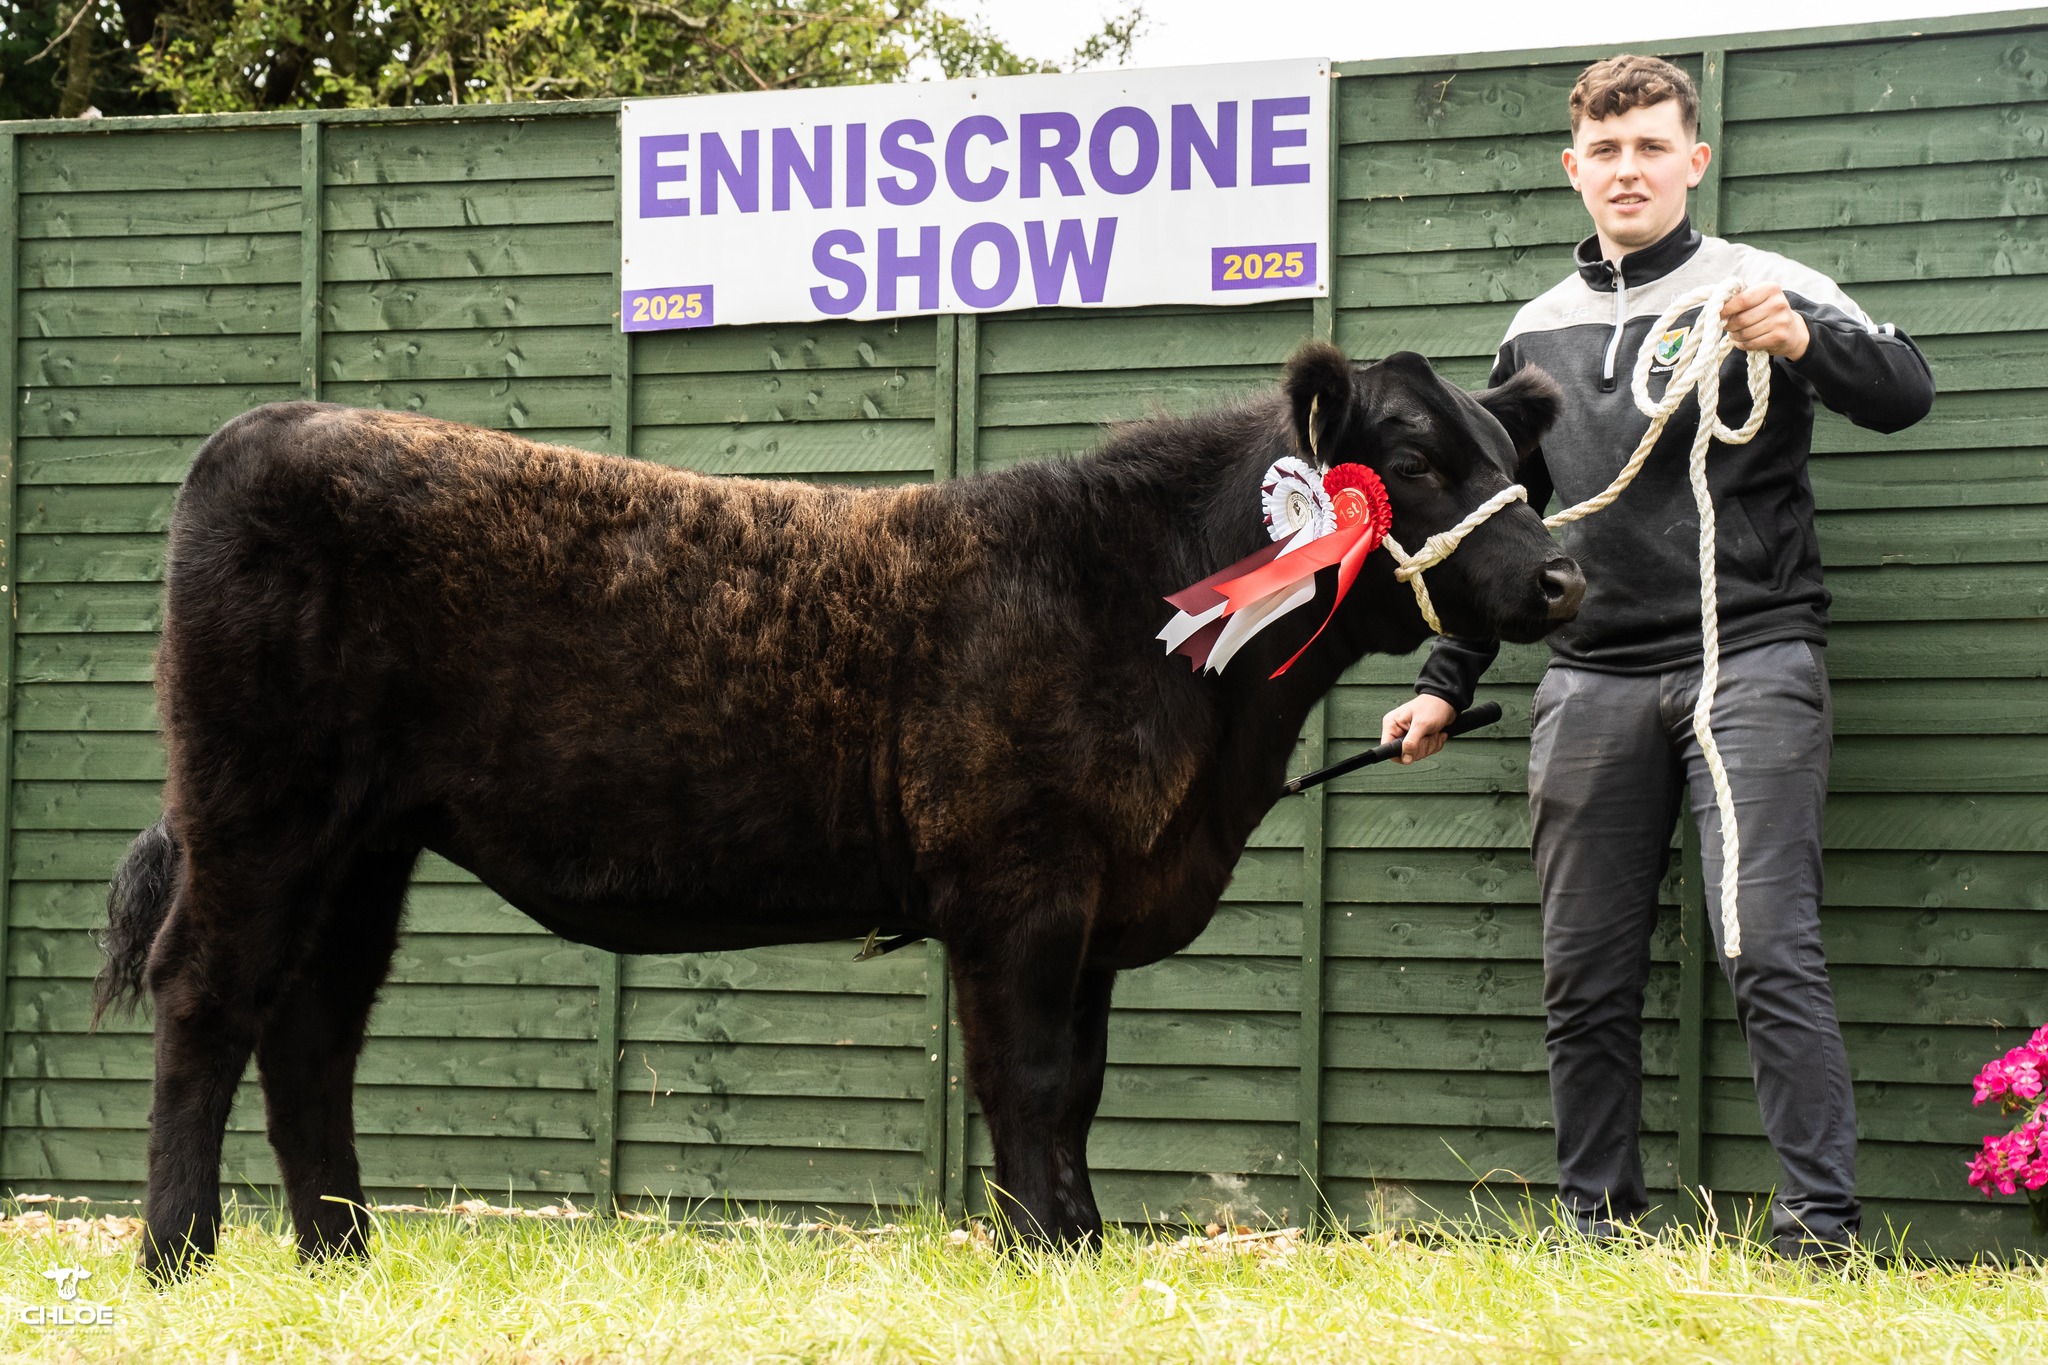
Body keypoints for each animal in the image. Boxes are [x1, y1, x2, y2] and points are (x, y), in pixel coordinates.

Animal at [91, 340, 1581, 1279]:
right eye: (1411, 458)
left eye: (1520, 462)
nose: (1560, 580)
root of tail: (268, 427)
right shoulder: (1019, 881)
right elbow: (1028, 1077)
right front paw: (1038, 1251)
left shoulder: (1095, 901)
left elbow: (1084, 1086)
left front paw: (1083, 1244)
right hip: (259, 803)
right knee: (208, 993)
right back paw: (177, 1254)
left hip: (364, 842)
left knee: (313, 1028)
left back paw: (341, 1254)